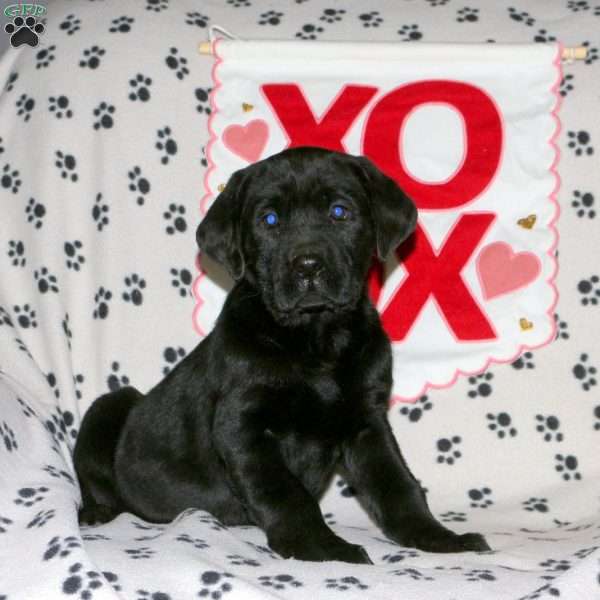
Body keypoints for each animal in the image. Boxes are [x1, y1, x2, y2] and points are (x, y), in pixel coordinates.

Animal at [72, 146, 490, 564]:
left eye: (340, 211)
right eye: (269, 219)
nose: (308, 265)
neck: (314, 340)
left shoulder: (367, 423)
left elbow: (398, 485)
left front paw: (439, 538)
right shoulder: (242, 426)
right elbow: (286, 494)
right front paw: (322, 547)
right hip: (109, 405)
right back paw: (95, 512)